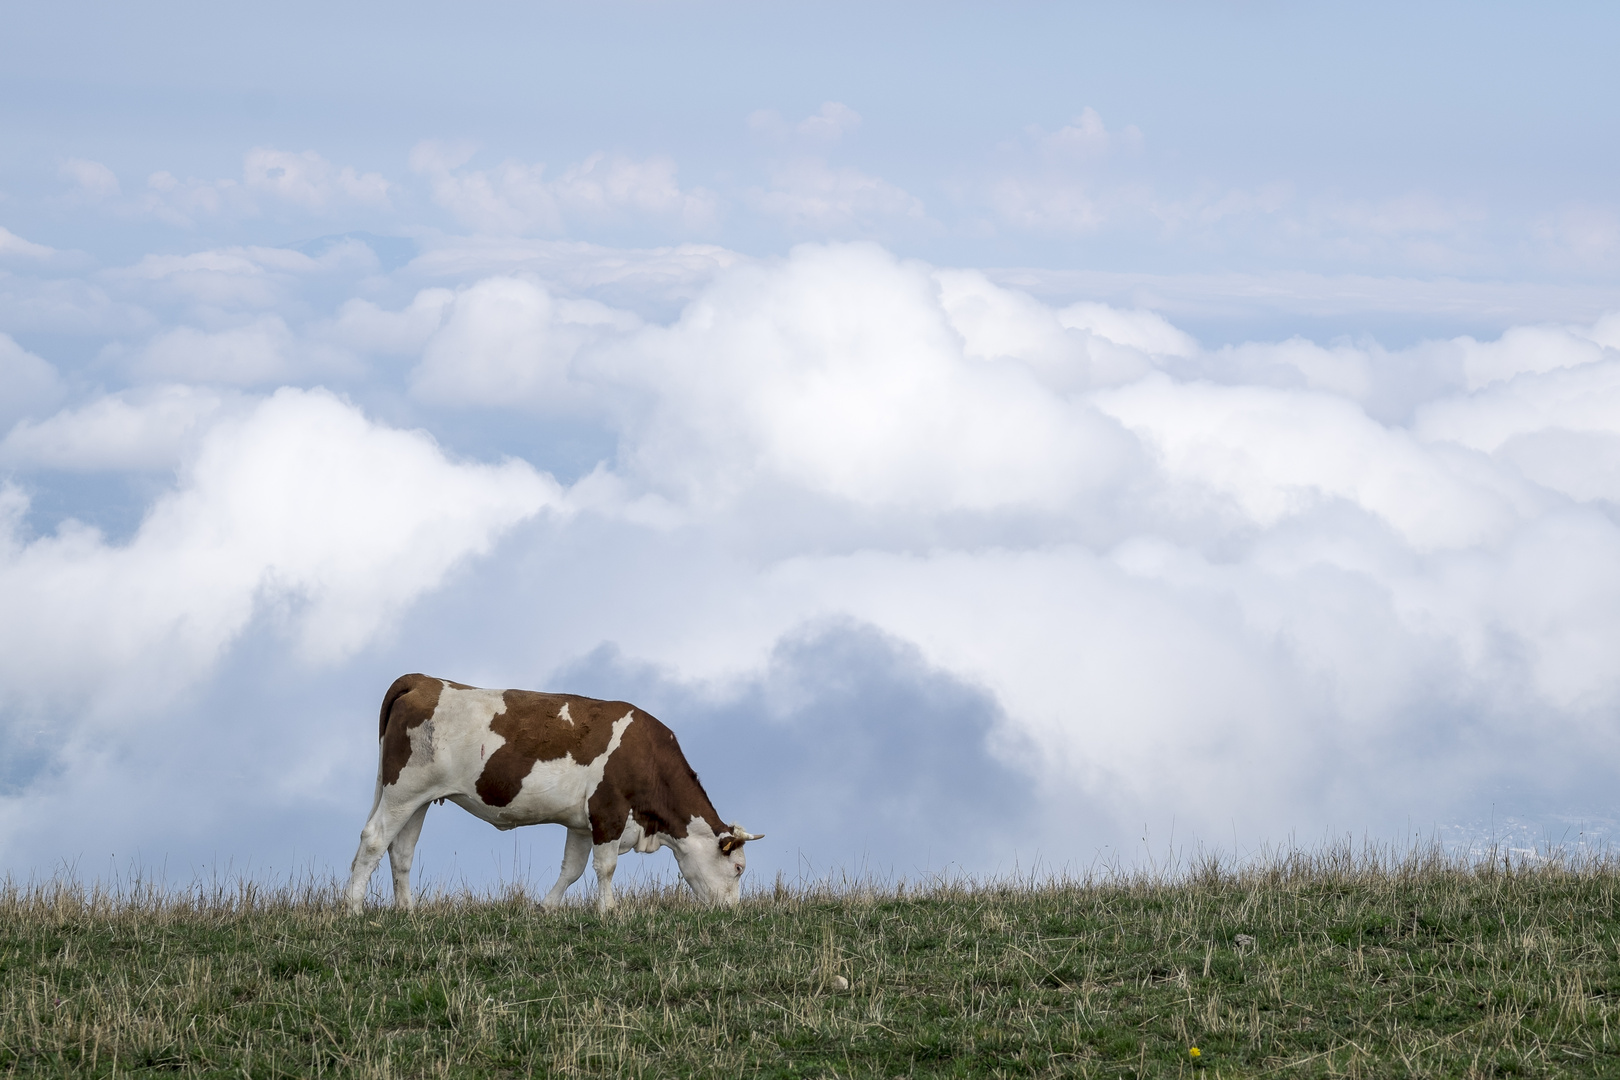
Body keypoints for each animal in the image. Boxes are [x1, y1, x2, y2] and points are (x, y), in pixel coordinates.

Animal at [341, 676, 758, 913]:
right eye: (738, 868)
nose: (731, 912)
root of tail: (422, 679)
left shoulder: (582, 823)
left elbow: (572, 869)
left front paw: (547, 907)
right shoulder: (608, 812)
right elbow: (605, 867)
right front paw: (609, 911)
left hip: (419, 798)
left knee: (401, 850)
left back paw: (407, 911)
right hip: (404, 789)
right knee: (375, 838)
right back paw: (354, 909)